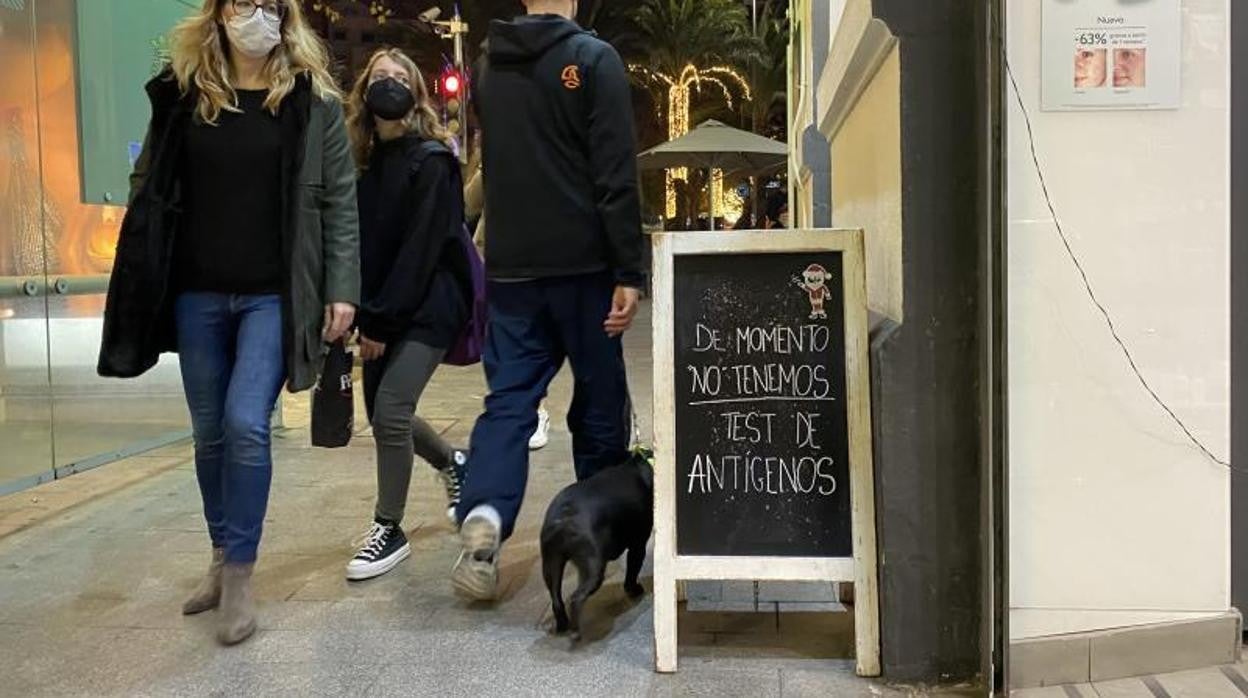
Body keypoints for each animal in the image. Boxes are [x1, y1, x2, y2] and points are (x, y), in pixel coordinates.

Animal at [541, 449, 658, 644]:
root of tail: (563, 520)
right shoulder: (638, 546)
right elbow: (632, 572)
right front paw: (634, 590)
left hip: (551, 563)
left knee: (556, 598)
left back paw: (563, 626)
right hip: (593, 566)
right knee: (577, 598)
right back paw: (575, 631)